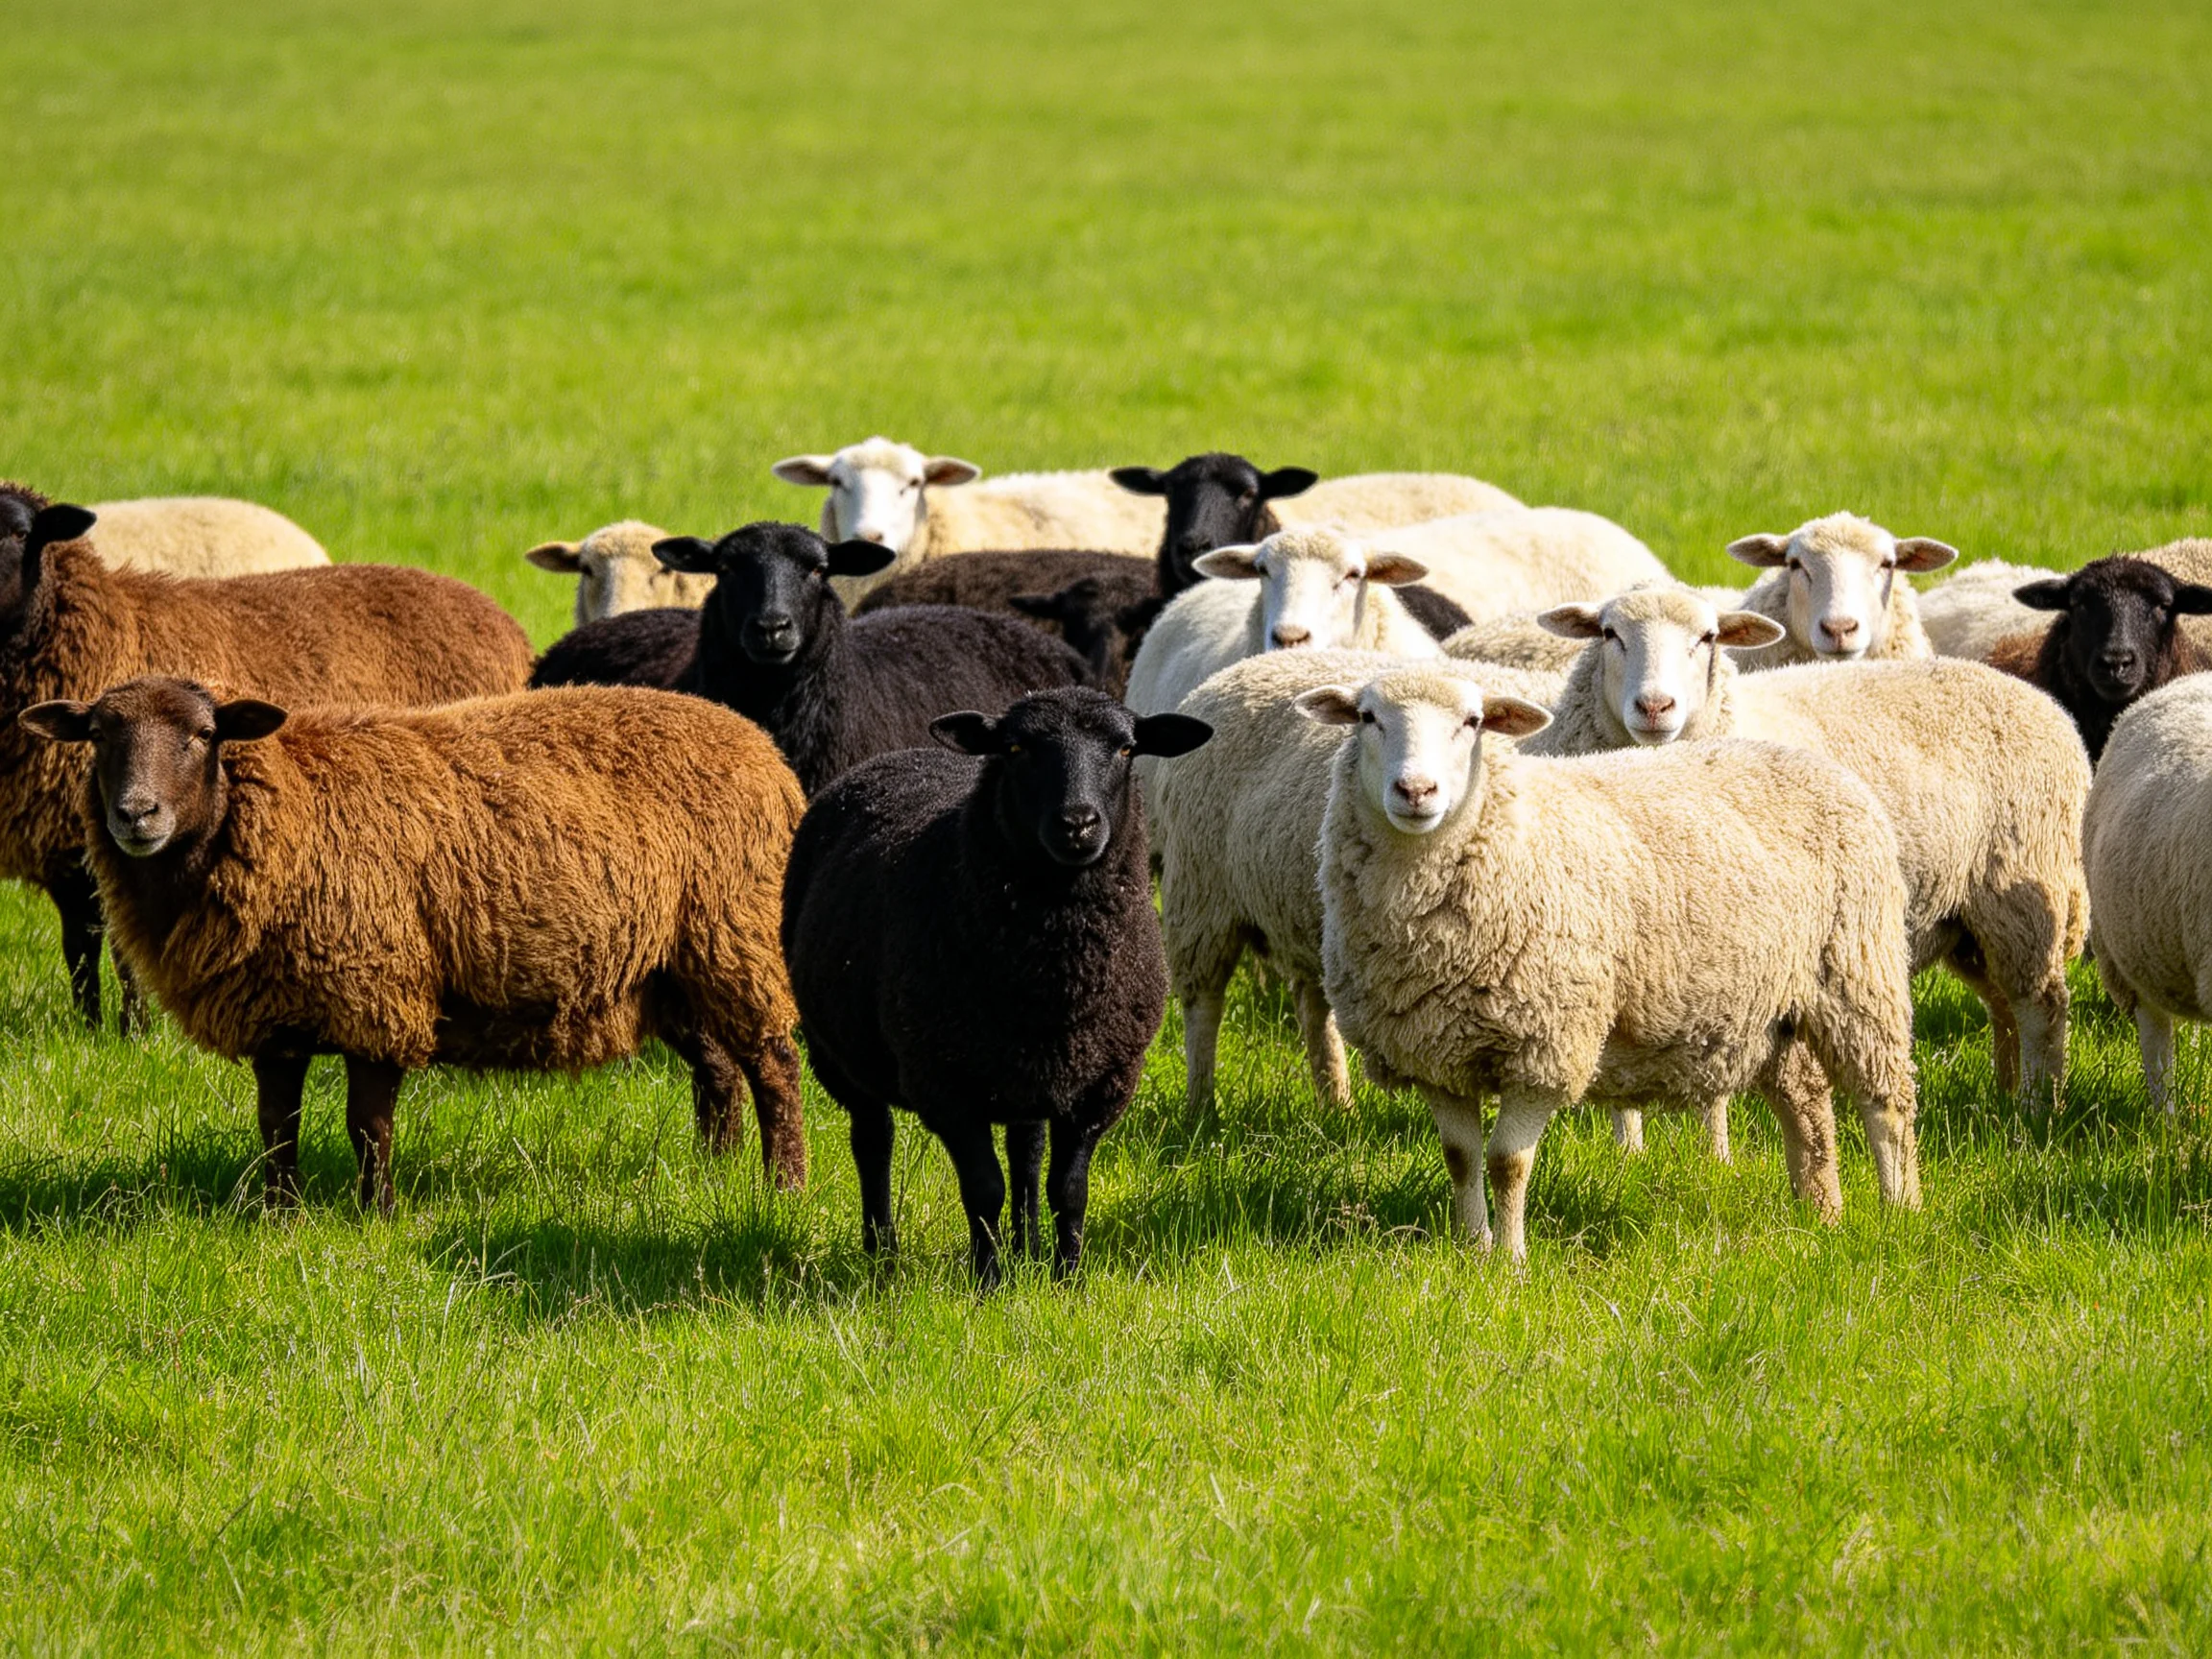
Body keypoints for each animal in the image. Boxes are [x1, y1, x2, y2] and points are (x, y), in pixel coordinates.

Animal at [21, 677, 807, 1207]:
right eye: (98, 737)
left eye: (202, 736)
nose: (136, 814)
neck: (287, 812)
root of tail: (764, 749)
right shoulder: (273, 1011)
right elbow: (277, 1124)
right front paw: (280, 1215)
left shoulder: (378, 991)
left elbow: (367, 1124)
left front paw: (378, 1214)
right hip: (672, 968)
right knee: (717, 1072)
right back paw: (715, 1172)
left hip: (736, 937)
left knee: (772, 1066)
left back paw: (782, 1186)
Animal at [781, 687, 1212, 1286]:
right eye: (1015, 748)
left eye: (1127, 749)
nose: (1078, 824)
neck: (1062, 965)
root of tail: (898, 755)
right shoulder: (945, 1083)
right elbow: (983, 1189)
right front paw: (988, 1282)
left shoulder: (1102, 1081)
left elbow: (1068, 1190)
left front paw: (1065, 1279)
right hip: (838, 1055)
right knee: (873, 1140)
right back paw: (882, 1254)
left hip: (1026, 1067)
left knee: (1025, 1147)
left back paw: (1025, 1245)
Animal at [1156, 649, 1563, 1117]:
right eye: (1368, 717)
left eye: (1473, 721)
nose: (1416, 790)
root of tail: (1247, 664)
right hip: (1200, 892)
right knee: (1203, 1004)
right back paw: (1202, 1109)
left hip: (1308, 920)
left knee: (1313, 1008)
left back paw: (1337, 1102)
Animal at [1299, 663, 1922, 1261]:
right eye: (1367, 717)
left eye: (1472, 722)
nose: (1415, 790)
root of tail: (1815, 763)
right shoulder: (1434, 1052)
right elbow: (1460, 1158)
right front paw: (1472, 1249)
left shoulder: (1546, 1046)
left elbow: (1507, 1163)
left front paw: (1510, 1263)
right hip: (1777, 1006)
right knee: (1806, 1098)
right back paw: (1819, 1210)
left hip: (1859, 970)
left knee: (1886, 1104)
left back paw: (1899, 1211)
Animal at [1532, 587, 2090, 1144]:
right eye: (1610, 634)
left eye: (1708, 638)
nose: (1654, 706)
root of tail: (2046, 704)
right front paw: (1631, 1150)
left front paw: (1715, 1153)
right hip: (1962, 917)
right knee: (2002, 1002)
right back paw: (2006, 1092)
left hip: (2019, 892)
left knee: (2042, 1005)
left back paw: (2037, 1108)